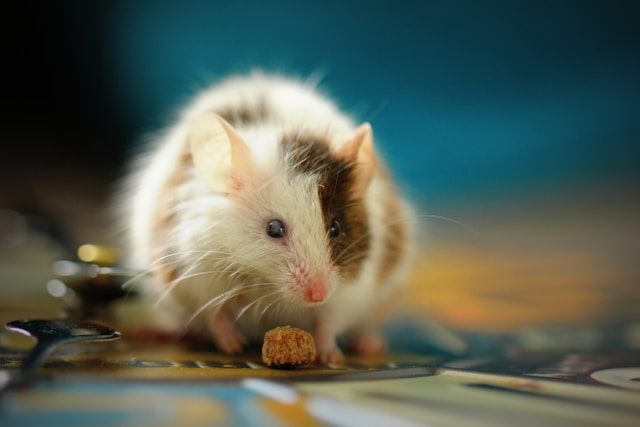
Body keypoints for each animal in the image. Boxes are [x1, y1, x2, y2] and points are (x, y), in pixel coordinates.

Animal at [120, 72, 415, 363]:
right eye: (273, 228)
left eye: (335, 228)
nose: (318, 295)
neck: (269, 287)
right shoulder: (195, 275)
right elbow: (214, 315)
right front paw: (233, 346)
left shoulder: (350, 290)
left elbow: (329, 323)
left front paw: (330, 355)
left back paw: (368, 343)